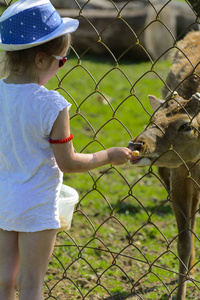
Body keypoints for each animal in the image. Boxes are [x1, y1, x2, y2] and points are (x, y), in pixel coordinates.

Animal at [129, 31, 200, 300]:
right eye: (153, 118)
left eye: (186, 125)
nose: (137, 144)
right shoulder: (179, 175)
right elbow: (183, 242)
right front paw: (181, 291)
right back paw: (191, 271)